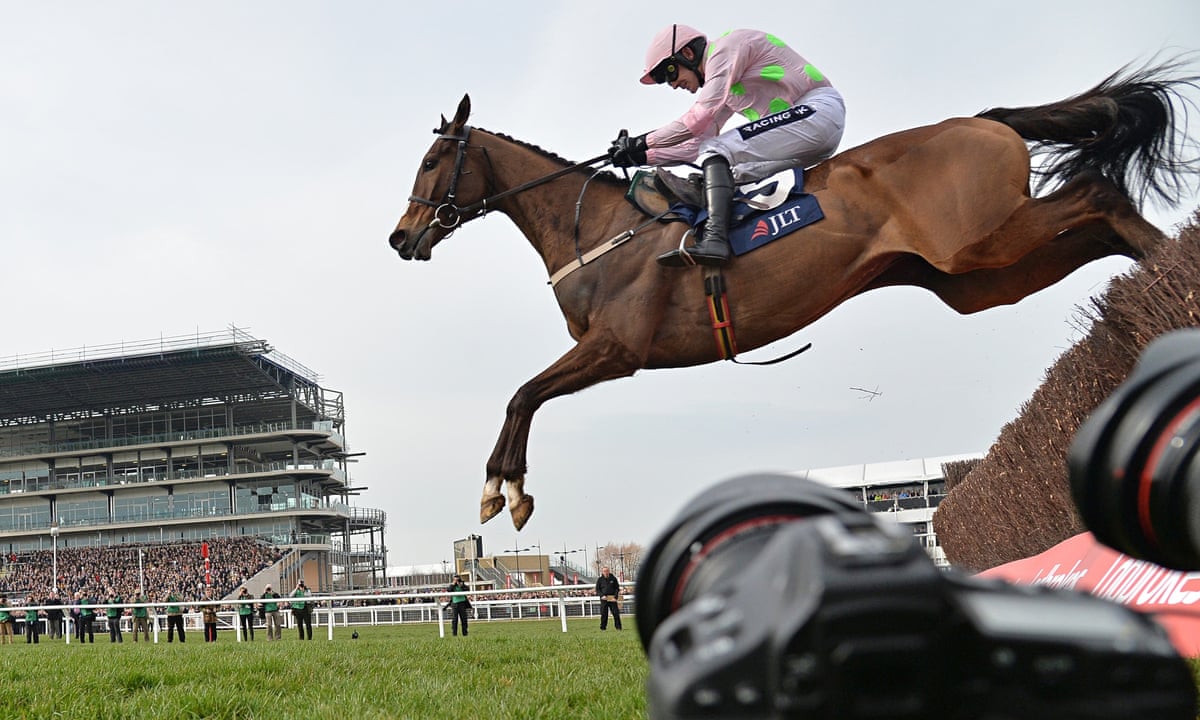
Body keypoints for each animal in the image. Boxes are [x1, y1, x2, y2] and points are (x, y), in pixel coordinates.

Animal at [389, 61, 1197, 531]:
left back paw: (1167, 276)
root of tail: (981, 120)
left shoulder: (617, 346)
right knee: (1096, 219)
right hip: (978, 276)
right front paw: (505, 488)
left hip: (983, 241)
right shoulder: (606, 350)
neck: (602, 226)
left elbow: (523, 394)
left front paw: (503, 489)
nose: (400, 238)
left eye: (431, 160)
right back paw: (1157, 285)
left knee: (1097, 190)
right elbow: (524, 395)